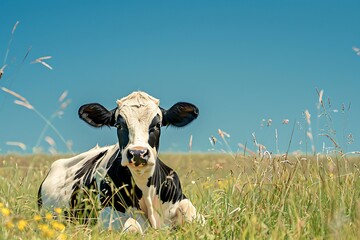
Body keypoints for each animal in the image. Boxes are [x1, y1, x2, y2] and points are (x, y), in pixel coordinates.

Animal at [37, 90, 200, 232]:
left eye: (157, 125)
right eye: (119, 125)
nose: (138, 153)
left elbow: (192, 217)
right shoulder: (107, 213)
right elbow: (132, 226)